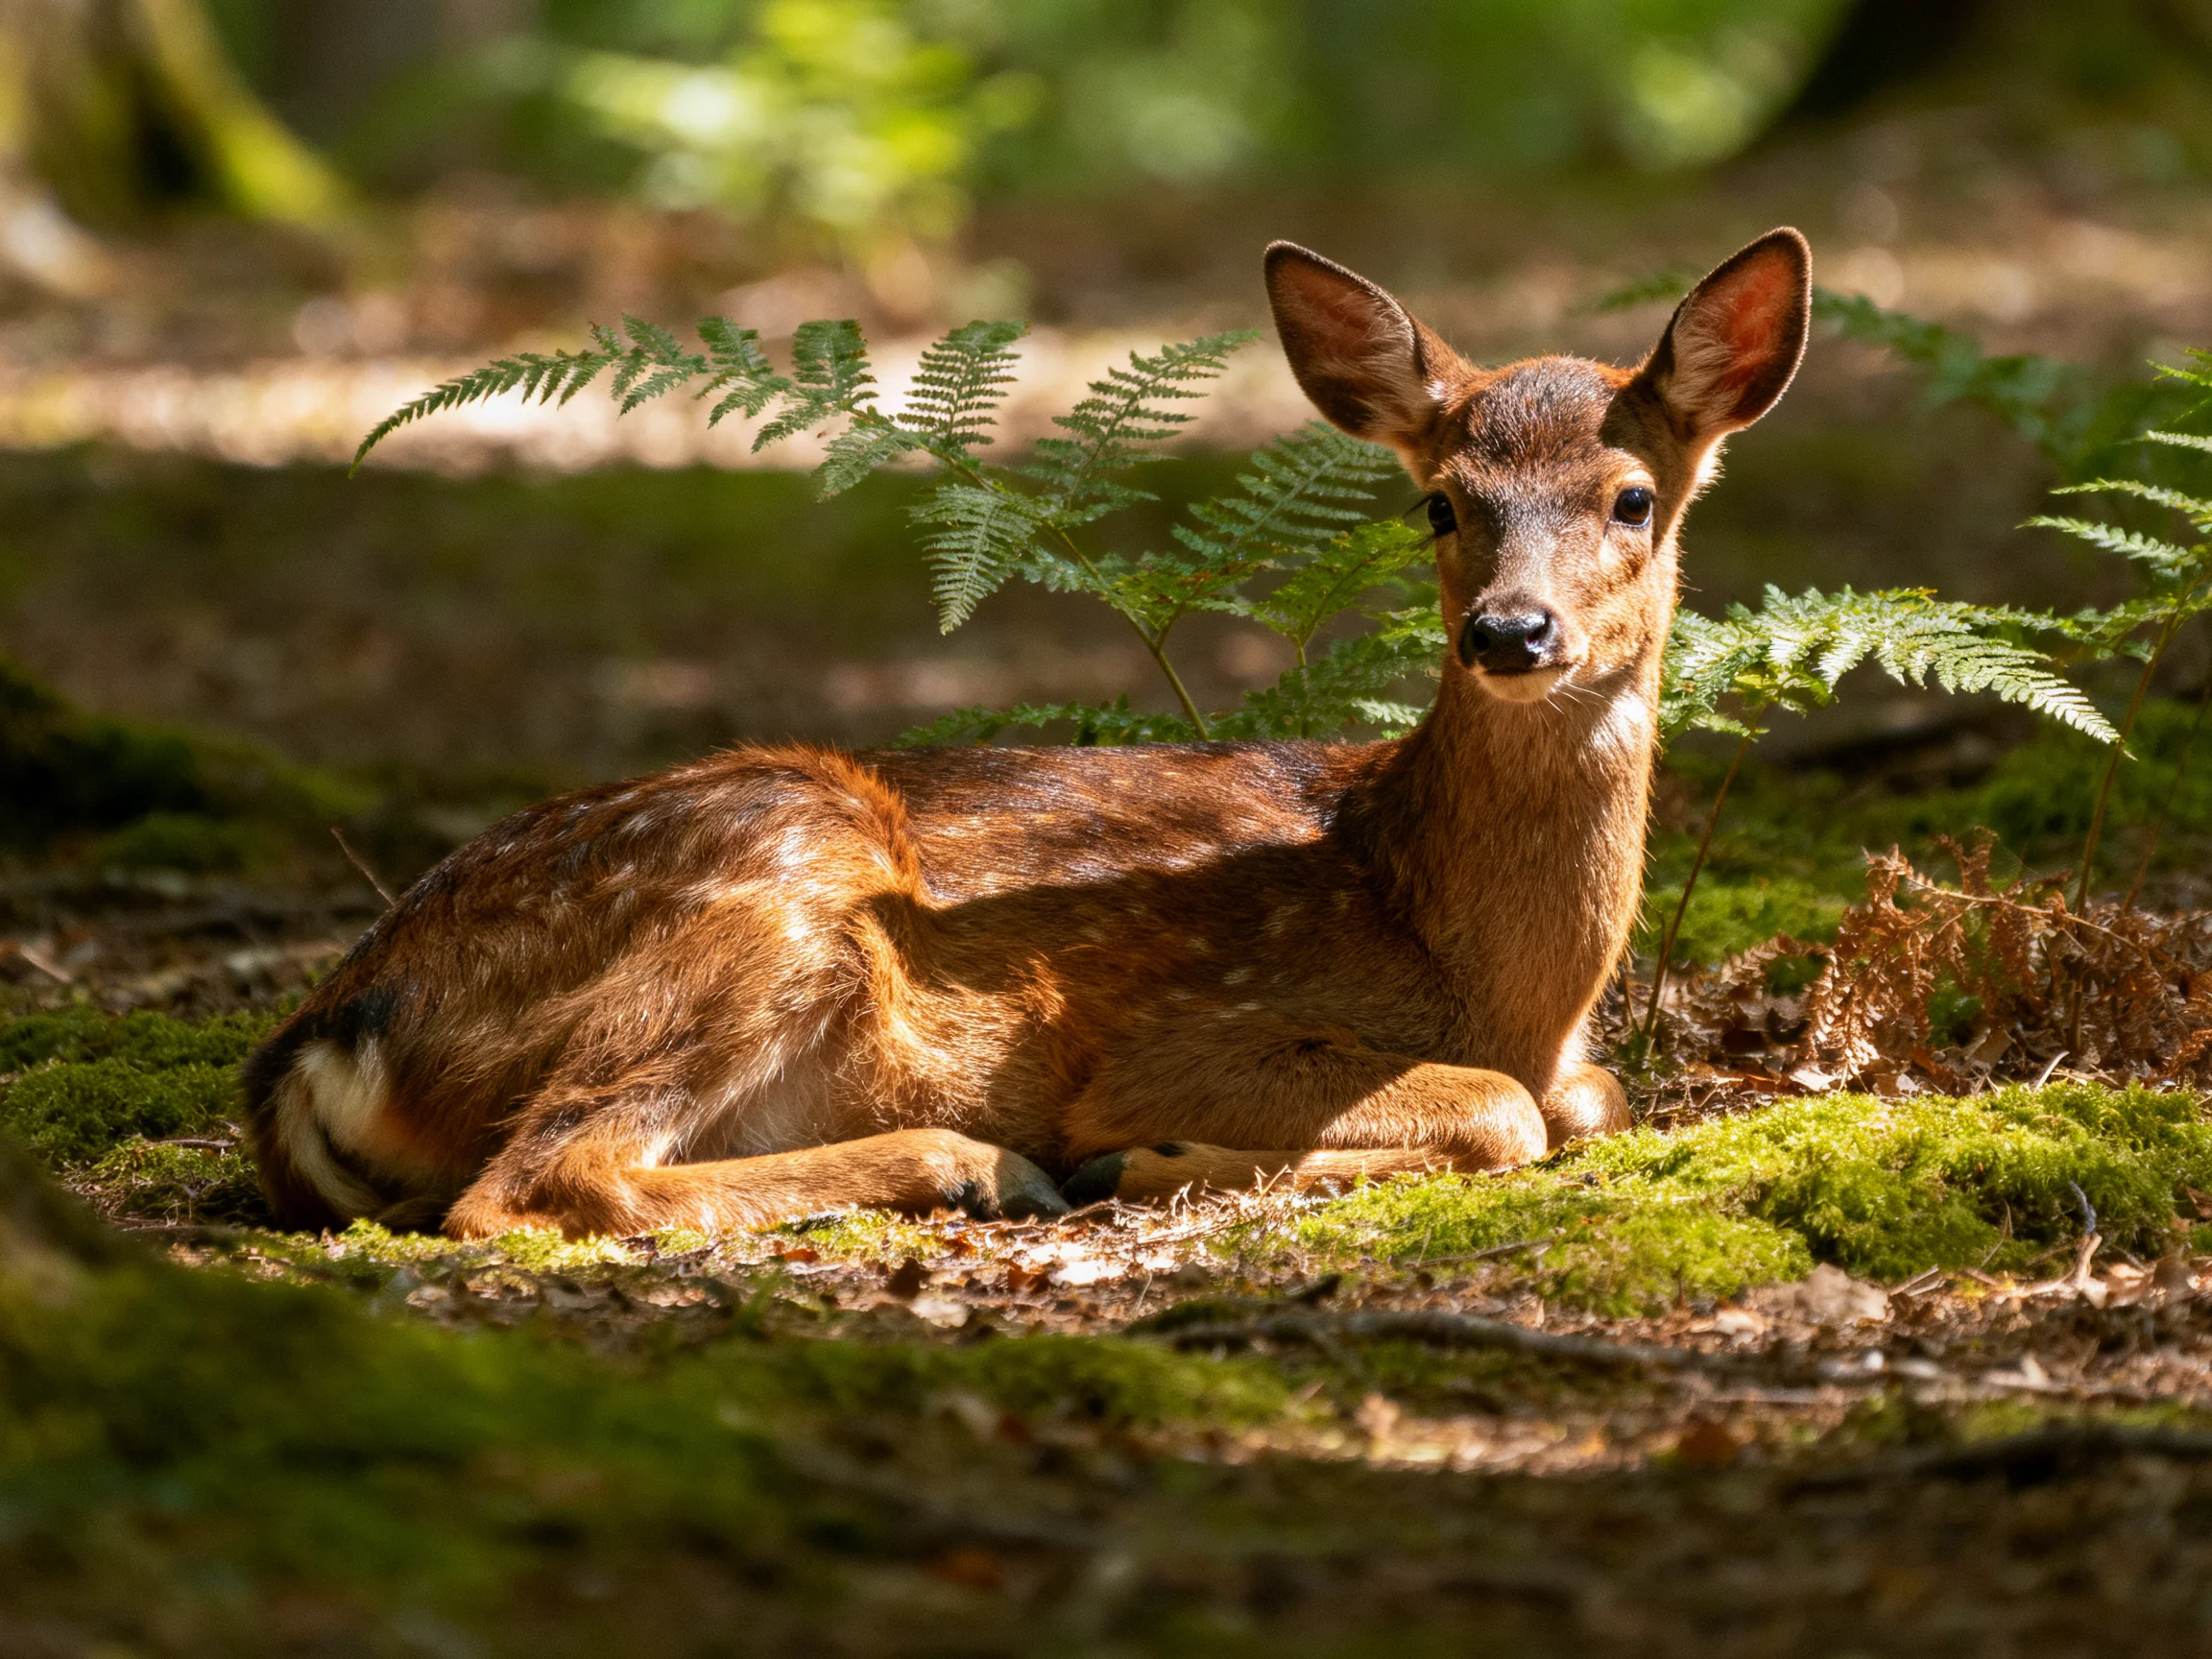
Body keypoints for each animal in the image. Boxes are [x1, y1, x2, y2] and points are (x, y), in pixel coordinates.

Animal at [242, 228, 1811, 1240]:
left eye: (1631, 497)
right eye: (1440, 501)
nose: (1510, 633)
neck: (1479, 961)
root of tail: (327, 1034)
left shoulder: (1575, 1060)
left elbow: (1589, 1100)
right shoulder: (1189, 1027)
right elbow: (1507, 1115)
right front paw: (1154, 1159)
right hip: (779, 863)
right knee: (531, 1185)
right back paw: (981, 1168)